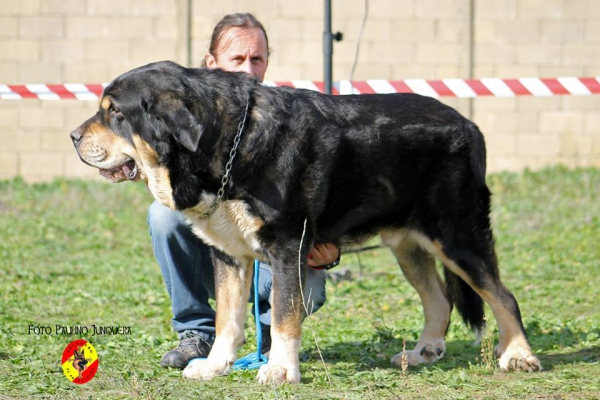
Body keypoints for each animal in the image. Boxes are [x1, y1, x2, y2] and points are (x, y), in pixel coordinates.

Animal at [69, 61, 540, 382]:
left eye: (114, 113)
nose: (73, 136)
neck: (227, 144)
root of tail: (470, 124)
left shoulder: (286, 247)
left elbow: (283, 315)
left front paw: (279, 370)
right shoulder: (229, 255)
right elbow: (227, 319)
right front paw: (216, 365)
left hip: (457, 236)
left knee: (503, 296)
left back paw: (518, 355)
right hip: (409, 246)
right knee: (439, 300)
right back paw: (422, 352)